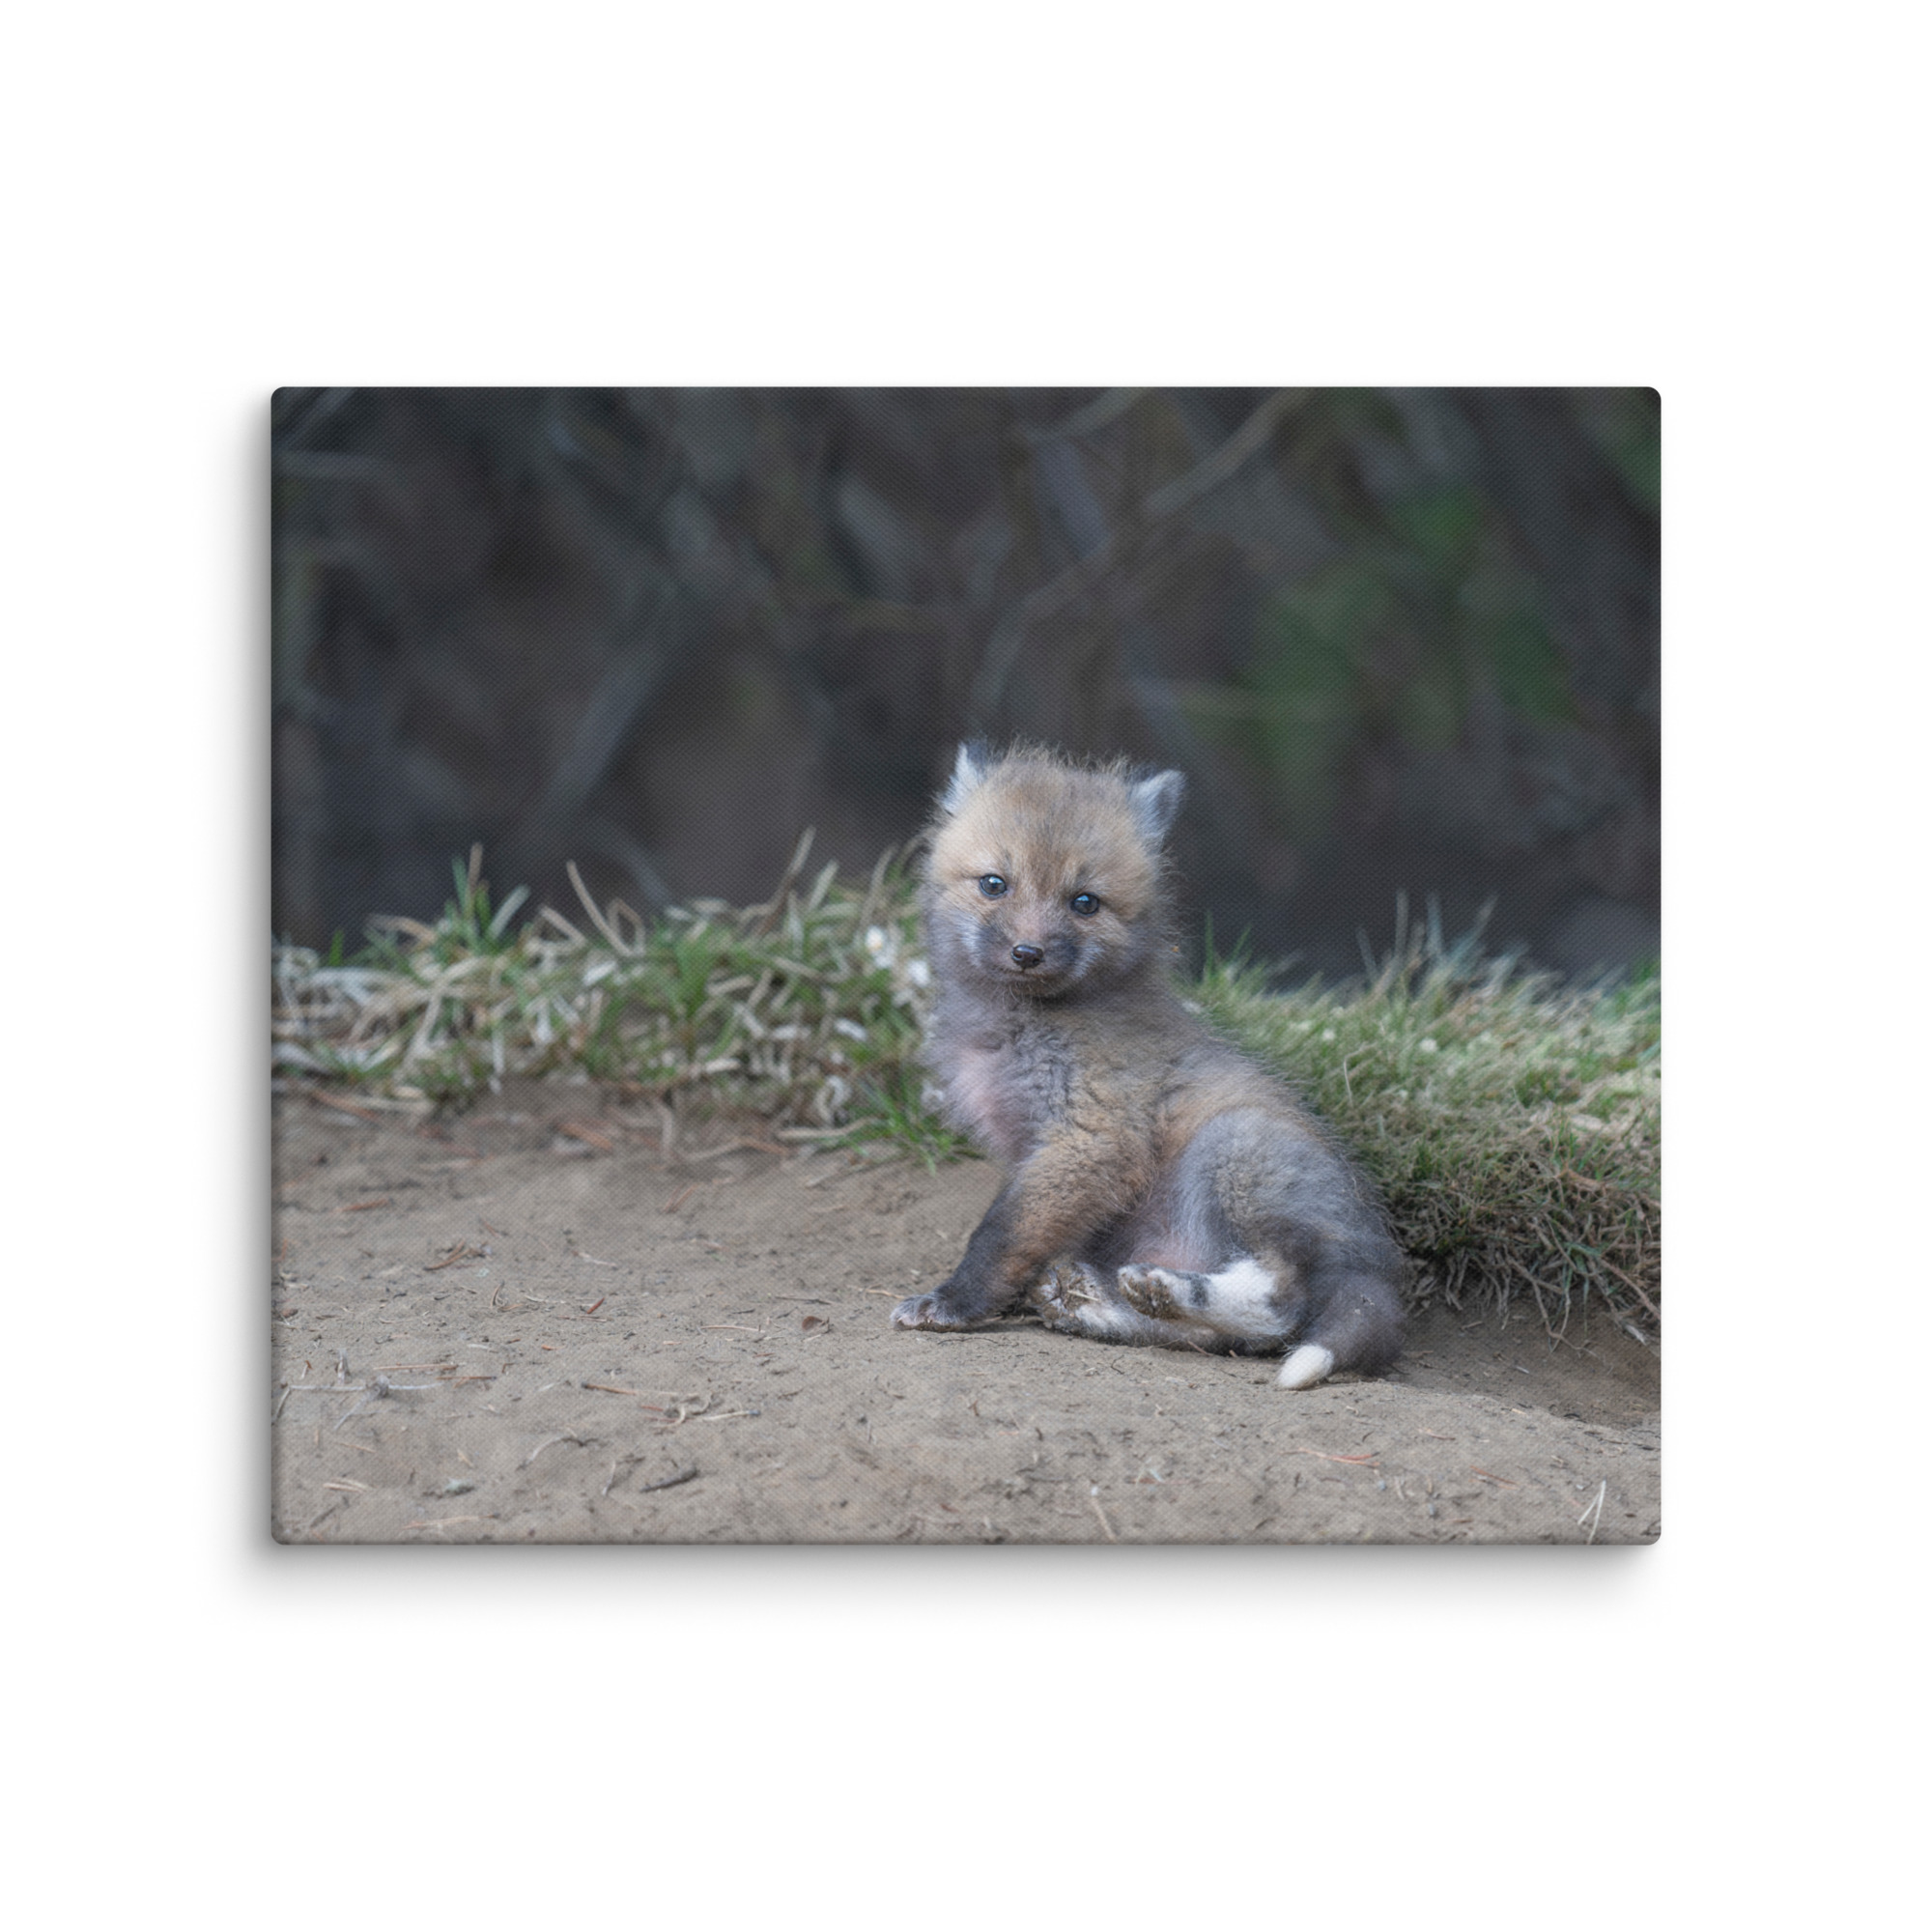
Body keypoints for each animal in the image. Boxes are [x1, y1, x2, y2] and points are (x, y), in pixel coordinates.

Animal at [890, 743, 1404, 1389]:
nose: (1027, 953)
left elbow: (1000, 1234)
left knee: (1280, 1304)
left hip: (1232, 1149)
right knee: (1223, 1338)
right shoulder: (1038, 1152)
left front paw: (955, 1303)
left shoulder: (1091, 1138)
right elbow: (1027, 1235)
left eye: (1084, 902)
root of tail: (1376, 1262)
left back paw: (1165, 1290)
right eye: (994, 884)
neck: (1019, 1028)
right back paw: (1102, 1304)